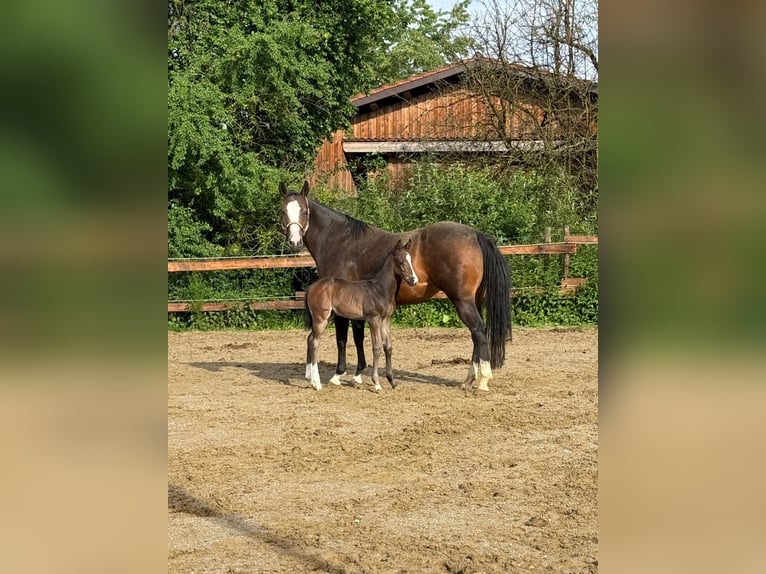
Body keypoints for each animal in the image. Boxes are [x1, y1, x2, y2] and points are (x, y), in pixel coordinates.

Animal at [303, 238, 418, 392]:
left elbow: (388, 347)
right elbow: (377, 347)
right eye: (400, 262)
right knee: (315, 342)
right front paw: (376, 383)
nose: (414, 280)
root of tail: (311, 287)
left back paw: (310, 378)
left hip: (328, 317)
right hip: (320, 318)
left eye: (410, 260)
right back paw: (317, 383)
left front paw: (392, 381)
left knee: (310, 339)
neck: (380, 289)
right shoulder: (374, 319)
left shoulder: (386, 320)